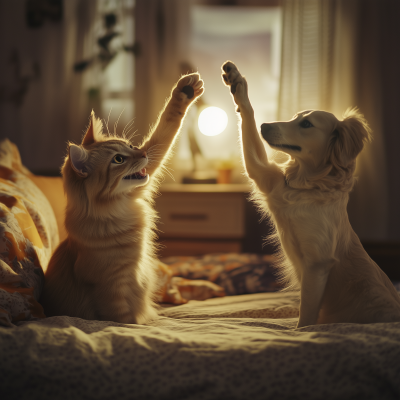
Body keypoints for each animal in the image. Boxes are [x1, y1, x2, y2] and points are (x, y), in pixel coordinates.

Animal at [41, 72, 203, 324]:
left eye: (131, 146)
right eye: (118, 159)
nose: (143, 153)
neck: (118, 208)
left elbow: (165, 128)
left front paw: (185, 91)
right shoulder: (111, 291)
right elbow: (126, 321)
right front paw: (142, 325)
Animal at [222, 60, 400, 328]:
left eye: (306, 124)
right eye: (295, 117)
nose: (265, 125)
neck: (306, 186)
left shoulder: (317, 265)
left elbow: (306, 317)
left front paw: (299, 330)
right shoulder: (264, 175)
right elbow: (248, 119)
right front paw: (237, 82)